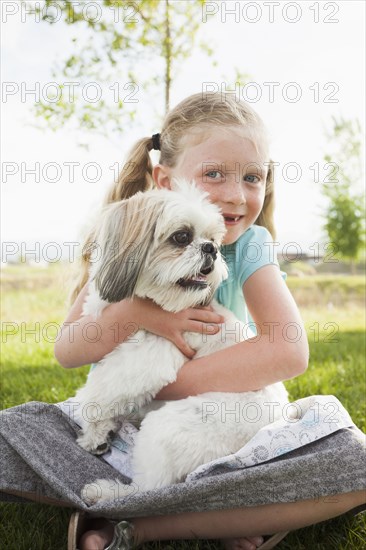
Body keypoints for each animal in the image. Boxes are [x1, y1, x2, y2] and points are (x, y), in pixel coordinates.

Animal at [74, 181, 290, 504]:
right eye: (182, 237)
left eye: (212, 240)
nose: (211, 249)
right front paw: (99, 435)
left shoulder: (149, 358)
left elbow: (97, 392)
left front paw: (91, 423)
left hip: (168, 428)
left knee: (148, 488)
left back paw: (104, 492)